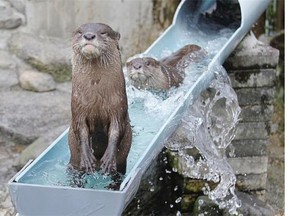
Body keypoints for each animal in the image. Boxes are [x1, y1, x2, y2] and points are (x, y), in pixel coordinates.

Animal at [69, 23, 132, 176]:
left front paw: (108, 159)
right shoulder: (77, 108)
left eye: (103, 33)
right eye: (80, 32)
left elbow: (116, 130)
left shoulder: (119, 107)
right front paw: (87, 159)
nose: (89, 35)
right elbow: (80, 130)